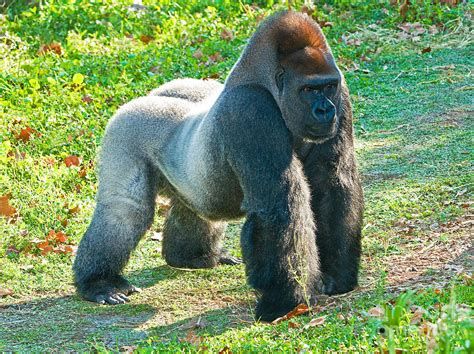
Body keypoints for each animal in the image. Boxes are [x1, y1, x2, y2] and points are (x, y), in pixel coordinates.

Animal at [73, 10, 362, 320]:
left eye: (328, 86)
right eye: (308, 89)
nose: (325, 110)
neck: (266, 84)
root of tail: (147, 95)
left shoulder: (342, 95)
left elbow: (332, 182)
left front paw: (337, 276)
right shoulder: (249, 109)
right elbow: (280, 206)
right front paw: (285, 301)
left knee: (192, 202)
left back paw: (190, 255)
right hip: (124, 126)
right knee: (125, 210)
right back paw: (98, 282)